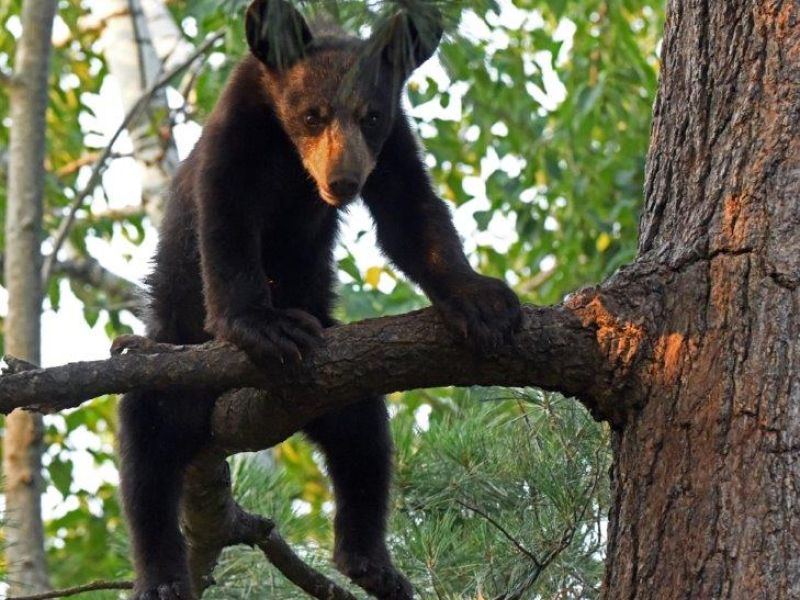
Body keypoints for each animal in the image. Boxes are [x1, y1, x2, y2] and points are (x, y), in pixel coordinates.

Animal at [117, 1, 521, 599]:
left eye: (370, 116)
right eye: (312, 115)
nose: (344, 179)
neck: (290, 160)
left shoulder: (393, 143)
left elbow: (411, 213)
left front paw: (482, 299)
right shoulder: (239, 127)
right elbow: (226, 219)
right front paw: (265, 325)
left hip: (339, 387)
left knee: (363, 438)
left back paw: (371, 562)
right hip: (175, 359)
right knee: (146, 445)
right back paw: (162, 576)